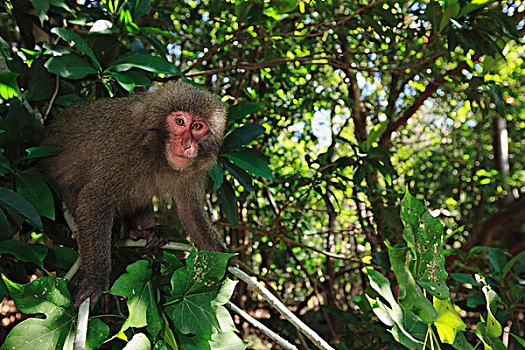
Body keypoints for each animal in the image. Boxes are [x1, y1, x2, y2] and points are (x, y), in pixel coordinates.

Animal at [40, 79, 228, 306]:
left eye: (198, 126)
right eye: (180, 122)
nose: (186, 145)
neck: (158, 151)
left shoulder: (193, 170)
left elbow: (189, 210)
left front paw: (224, 258)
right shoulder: (126, 149)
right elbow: (95, 199)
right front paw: (95, 278)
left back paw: (140, 233)